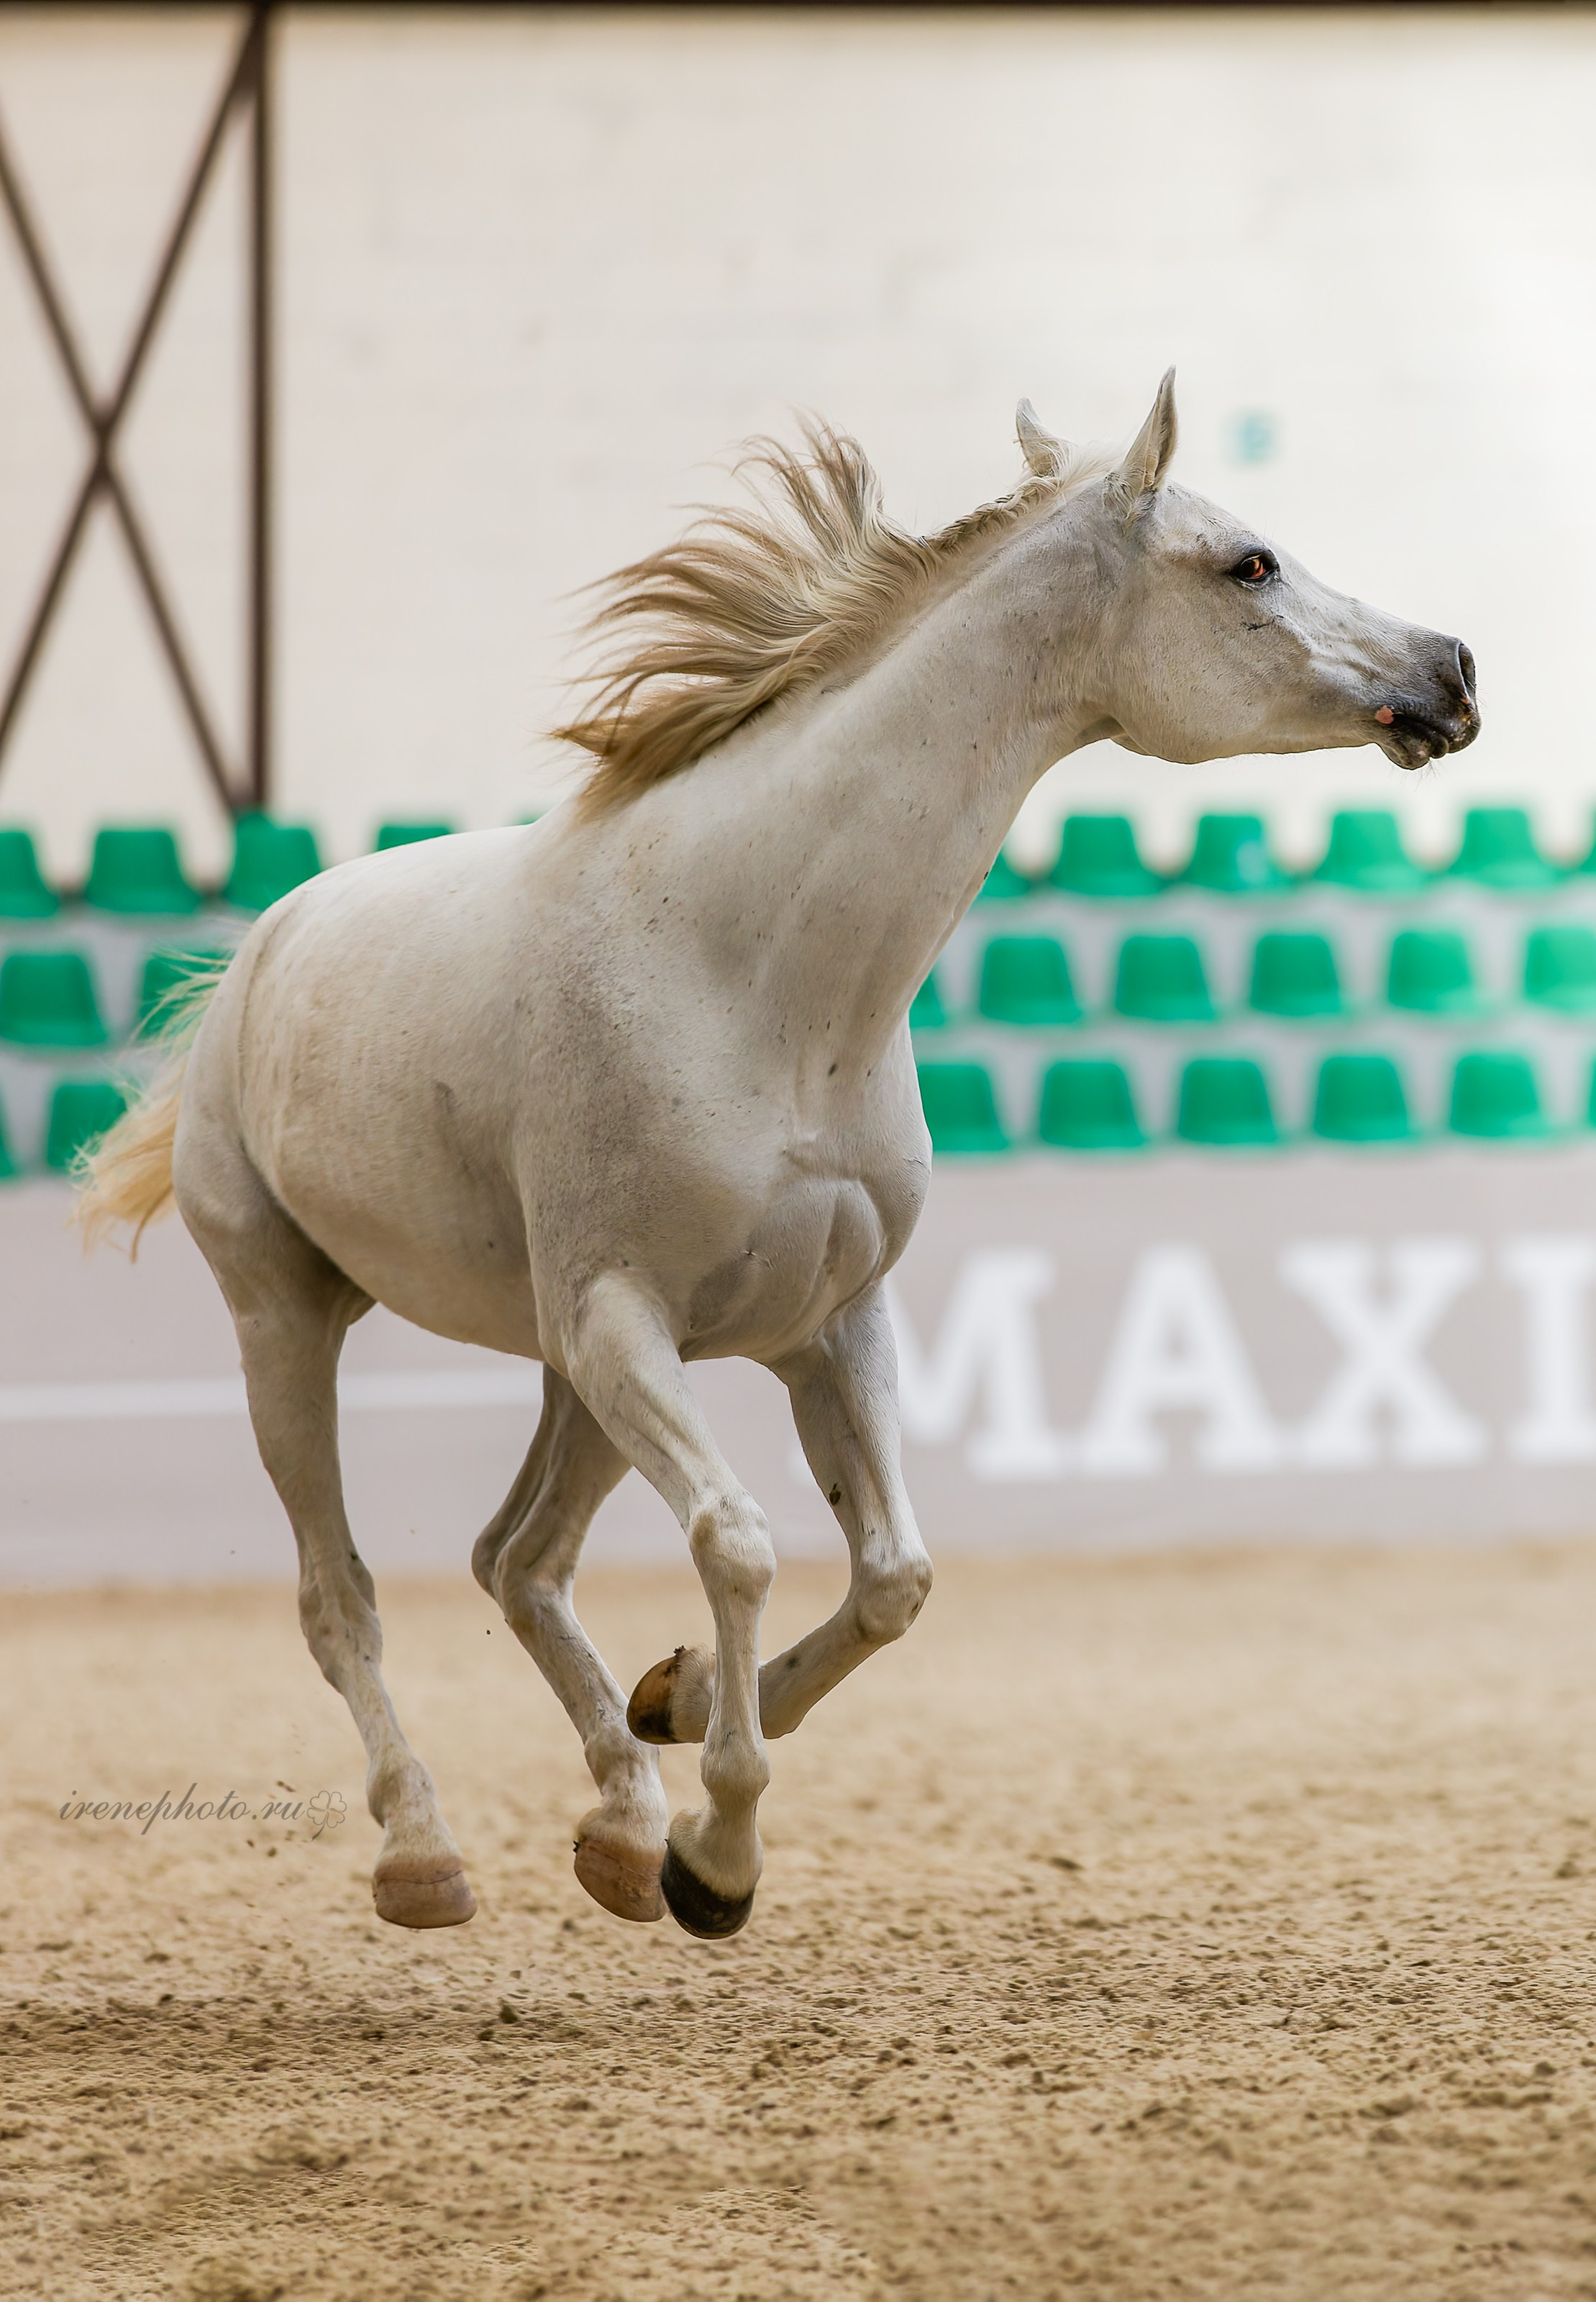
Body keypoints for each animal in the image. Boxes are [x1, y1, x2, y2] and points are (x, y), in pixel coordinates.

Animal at [77, 373, 1479, 1940]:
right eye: (1246, 563)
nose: (1450, 670)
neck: (749, 968)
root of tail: (254, 954)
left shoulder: (821, 1324)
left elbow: (890, 1579)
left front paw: (680, 1717)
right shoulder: (625, 1319)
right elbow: (738, 1542)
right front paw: (720, 1856)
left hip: (566, 1372)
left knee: (519, 1560)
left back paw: (620, 1822)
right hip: (295, 1325)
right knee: (344, 1597)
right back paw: (426, 1854)